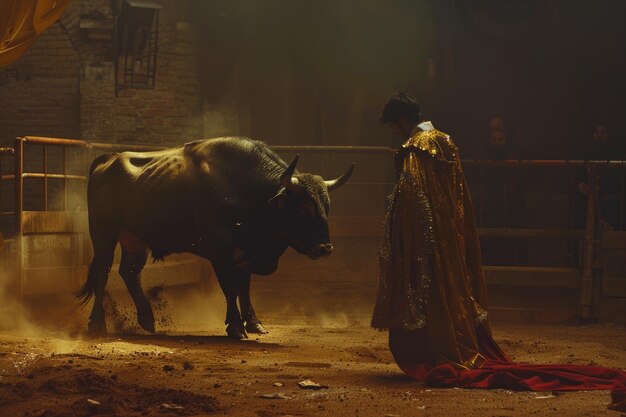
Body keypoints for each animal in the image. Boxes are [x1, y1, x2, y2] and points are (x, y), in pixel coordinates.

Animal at [75, 136, 354, 338]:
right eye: (305, 209)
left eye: (326, 207)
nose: (325, 248)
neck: (245, 187)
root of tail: (110, 158)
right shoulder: (220, 250)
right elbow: (230, 286)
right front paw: (235, 326)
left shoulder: (243, 251)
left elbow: (244, 286)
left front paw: (254, 322)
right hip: (103, 233)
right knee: (103, 271)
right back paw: (97, 323)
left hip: (135, 238)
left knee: (129, 272)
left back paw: (147, 319)